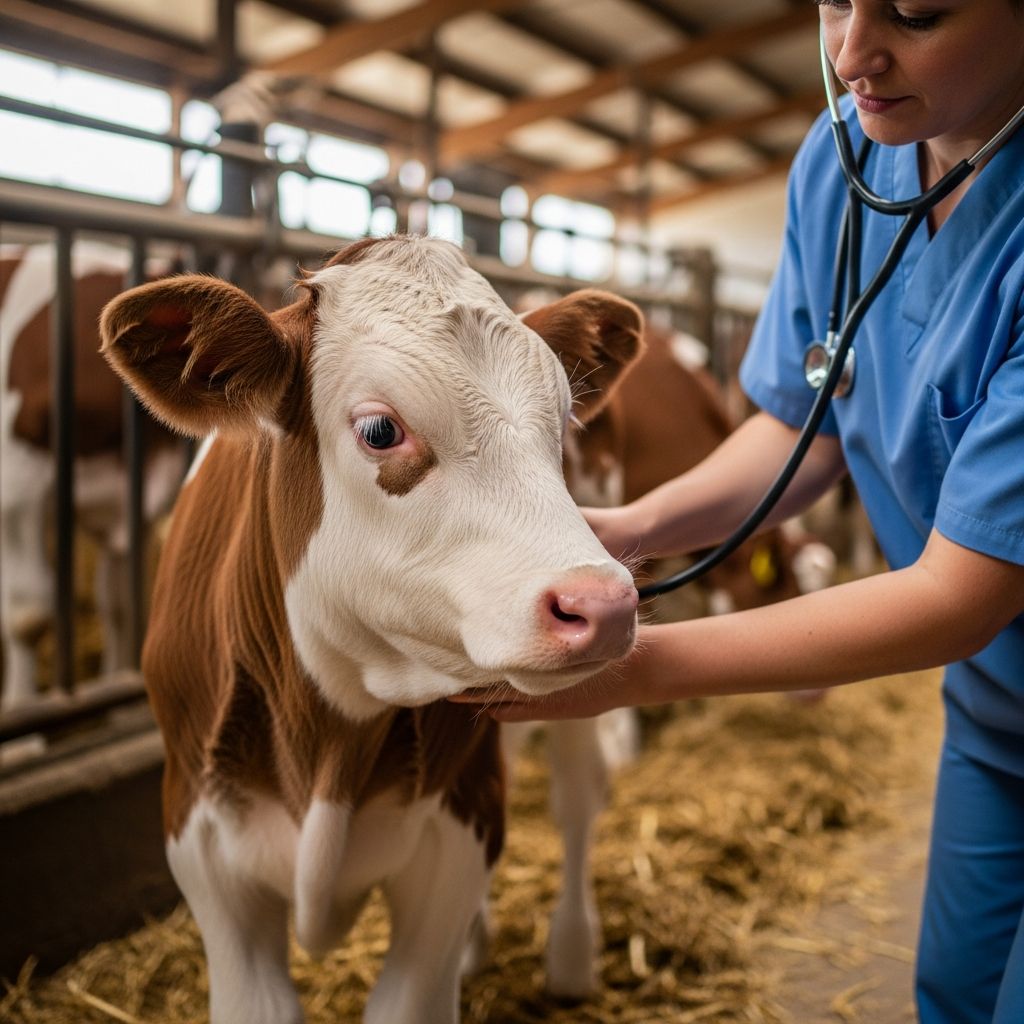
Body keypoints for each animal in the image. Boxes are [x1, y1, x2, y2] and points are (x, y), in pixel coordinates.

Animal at [98, 235, 644, 1024]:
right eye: (381, 430)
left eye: (563, 424)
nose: (602, 602)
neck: (329, 738)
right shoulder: (204, 847)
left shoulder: (459, 826)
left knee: (577, 793)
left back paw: (571, 956)